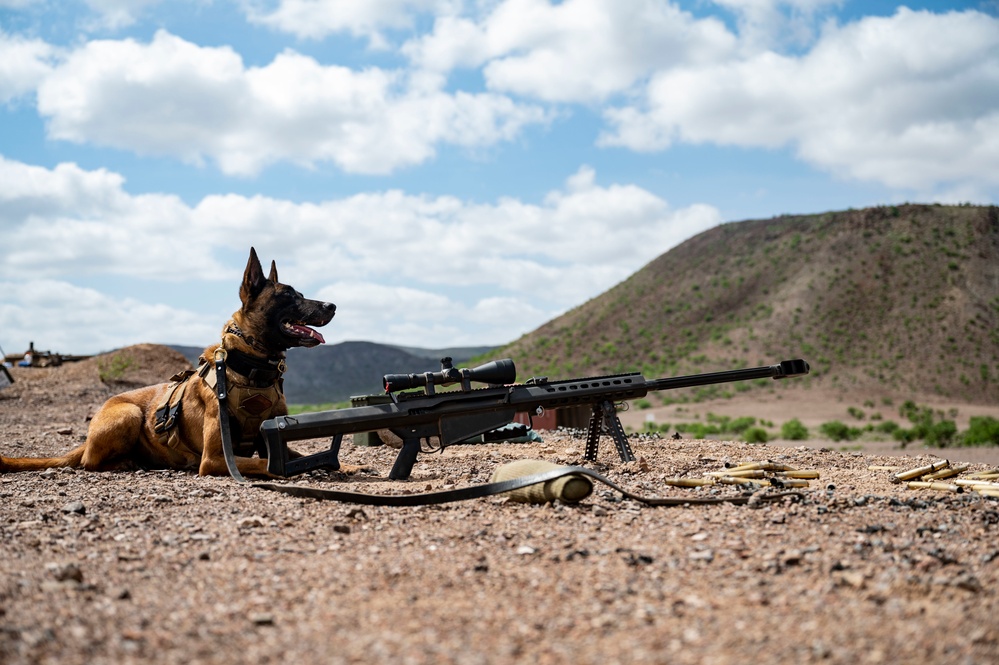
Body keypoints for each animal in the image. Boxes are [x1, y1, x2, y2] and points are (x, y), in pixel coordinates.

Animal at [0, 249, 344, 478]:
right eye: (288, 296)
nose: (333, 305)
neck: (251, 369)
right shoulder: (215, 458)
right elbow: (267, 464)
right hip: (127, 414)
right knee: (89, 463)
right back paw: (125, 462)